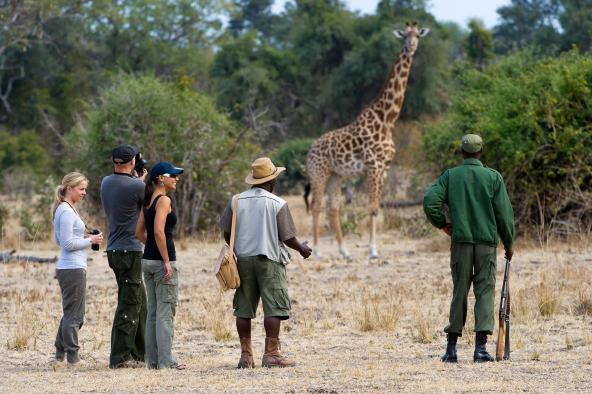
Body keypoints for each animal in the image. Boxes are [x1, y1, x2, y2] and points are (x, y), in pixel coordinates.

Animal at [306, 23, 430, 260]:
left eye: (418, 35)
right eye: (404, 35)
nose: (411, 47)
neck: (387, 119)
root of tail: (309, 151)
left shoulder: (384, 168)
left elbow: (376, 207)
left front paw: (373, 248)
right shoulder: (373, 166)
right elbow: (372, 207)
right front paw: (373, 251)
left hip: (336, 175)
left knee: (333, 207)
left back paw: (344, 251)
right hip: (319, 172)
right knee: (316, 206)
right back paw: (317, 251)